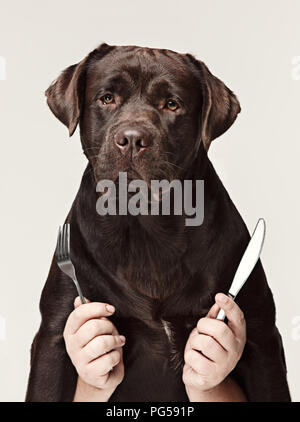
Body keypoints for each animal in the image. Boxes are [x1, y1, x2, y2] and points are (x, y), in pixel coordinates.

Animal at [25, 43, 290, 402]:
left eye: (172, 104)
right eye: (107, 98)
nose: (132, 139)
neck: (147, 228)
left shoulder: (262, 339)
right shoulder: (55, 335)